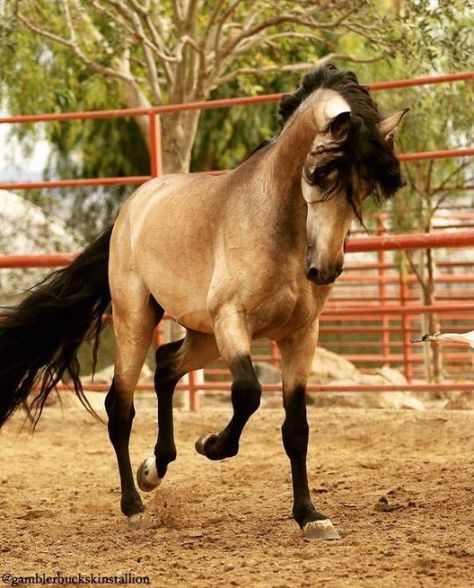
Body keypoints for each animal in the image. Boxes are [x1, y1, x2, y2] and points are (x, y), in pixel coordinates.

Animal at [0, 64, 408, 536]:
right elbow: (248, 394)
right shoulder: (233, 322)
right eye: (321, 173)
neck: (277, 228)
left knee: (165, 366)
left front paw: (310, 516)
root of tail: (133, 205)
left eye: (366, 188)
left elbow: (296, 430)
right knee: (120, 407)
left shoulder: (301, 336)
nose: (323, 269)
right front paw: (211, 444)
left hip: (204, 336)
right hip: (139, 321)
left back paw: (154, 469)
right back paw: (134, 505)